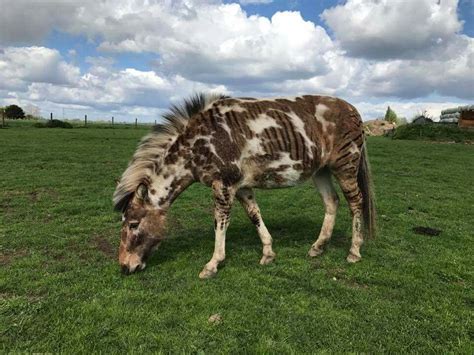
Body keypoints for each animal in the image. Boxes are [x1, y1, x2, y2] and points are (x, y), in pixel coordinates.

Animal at [113, 93, 376, 280]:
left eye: (133, 224)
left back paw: (354, 251)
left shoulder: (223, 187)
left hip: (345, 167)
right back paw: (318, 247)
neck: (201, 142)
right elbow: (254, 216)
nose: (124, 267)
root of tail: (353, 110)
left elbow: (220, 224)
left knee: (356, 203)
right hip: (321, 172)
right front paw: (268, 253)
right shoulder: (241, 188)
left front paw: (213, 264)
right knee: (332, 202)